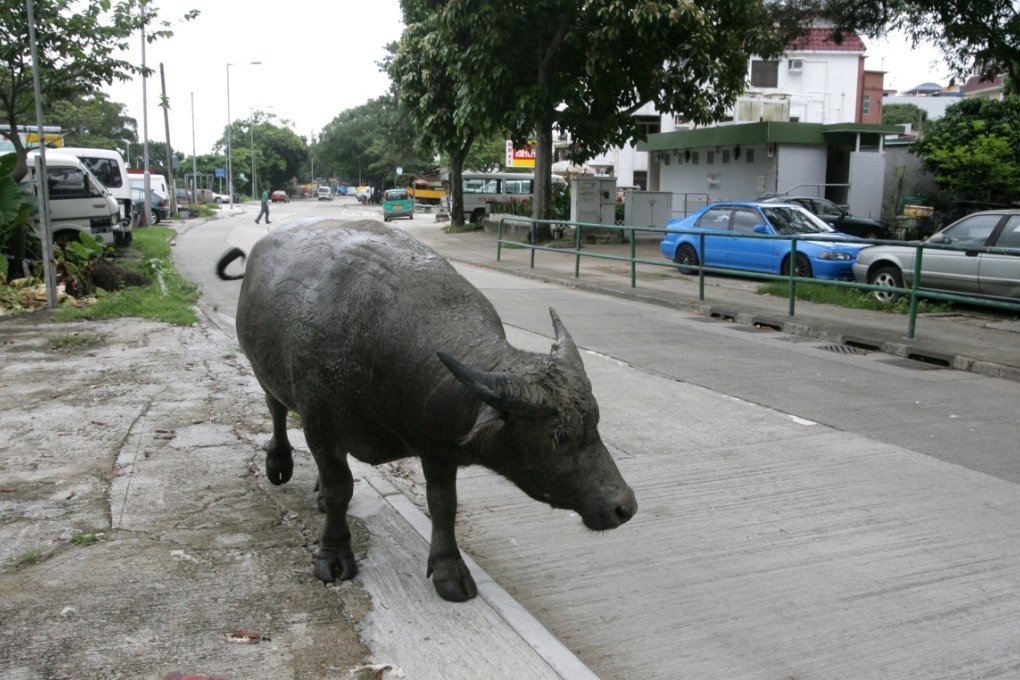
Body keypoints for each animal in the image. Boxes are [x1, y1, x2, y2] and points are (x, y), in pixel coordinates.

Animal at [217, 219, 636, 602]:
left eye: (596, 422)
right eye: (559, 436)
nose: (625, 507)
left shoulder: (438, 446)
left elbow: (444, 506)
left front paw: (449, 570)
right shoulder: (320, 426)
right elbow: (341, 488)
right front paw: (334, 554)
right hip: (265, 374)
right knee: (276, 412)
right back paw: (279, 462)